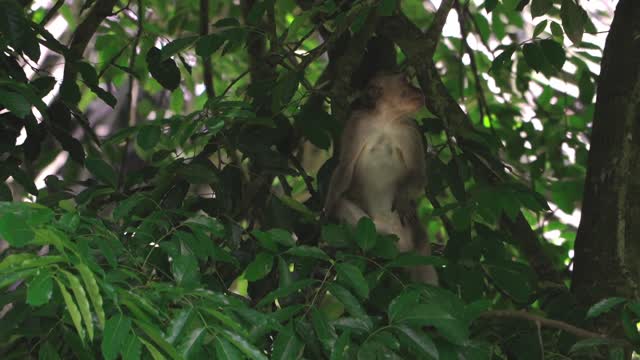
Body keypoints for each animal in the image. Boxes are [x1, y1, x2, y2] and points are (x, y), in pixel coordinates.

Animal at [324, 73, 440, 286]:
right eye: (405, 81)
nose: (417, 89)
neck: (386, 120)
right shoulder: (357, 123)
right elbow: (345, 167)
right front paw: (324, 217)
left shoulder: (410, 130)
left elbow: (419, 175)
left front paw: (402, 197)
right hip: (375, 230)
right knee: (342, 206)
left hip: (412, 238)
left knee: (421, 247)